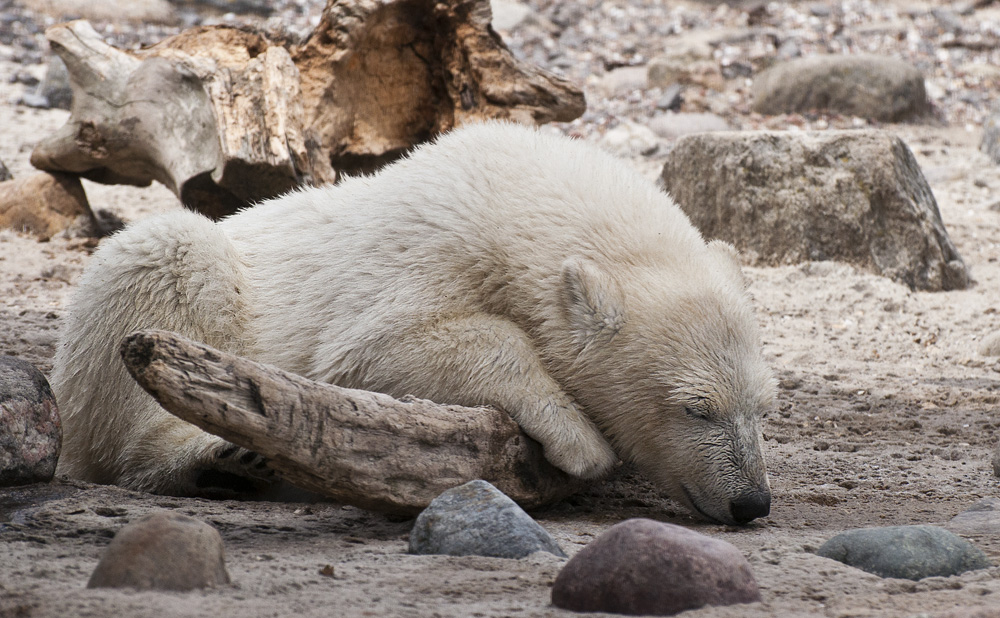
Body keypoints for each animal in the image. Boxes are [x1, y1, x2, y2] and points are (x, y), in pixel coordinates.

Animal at [50, 121, 776, 524]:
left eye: (762, 406)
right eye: (696, 408)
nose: (751, 502)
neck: (519, 196)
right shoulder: (428, 251)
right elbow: (383, 347)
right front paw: (579, 438)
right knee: (167, 263)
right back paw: (222, 457)